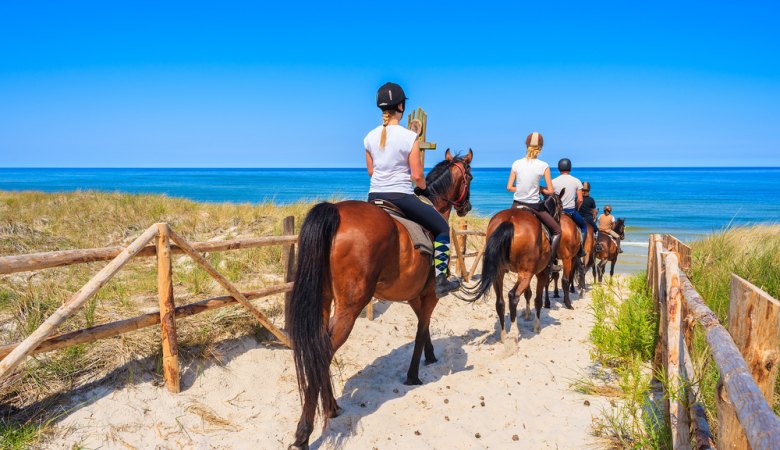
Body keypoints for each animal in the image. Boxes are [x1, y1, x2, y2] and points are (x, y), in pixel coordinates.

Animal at [284, 149, 472, 448]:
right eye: (470, 177)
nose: (466, 206)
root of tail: (336, 212)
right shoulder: (430, 294)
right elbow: (421, 330)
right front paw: (413, 375)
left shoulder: (415, 296)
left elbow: (424, 328)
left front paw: (430, 356)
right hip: (350, 306)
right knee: (324, 352)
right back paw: (304, 432)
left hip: (324, 302)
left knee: (318, 349)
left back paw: (332, 408)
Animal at [460, 190, 564, 342]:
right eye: (561, 207)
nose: (558, 221)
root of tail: (510, 221)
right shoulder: (541, 273)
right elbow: (537, 300)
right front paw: (537, 326)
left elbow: (528, 293)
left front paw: (527, 315)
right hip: (526, 274)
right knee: (513, 296)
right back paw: (514, 333)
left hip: (500, 273)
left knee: (500, 302)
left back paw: (504, 335)